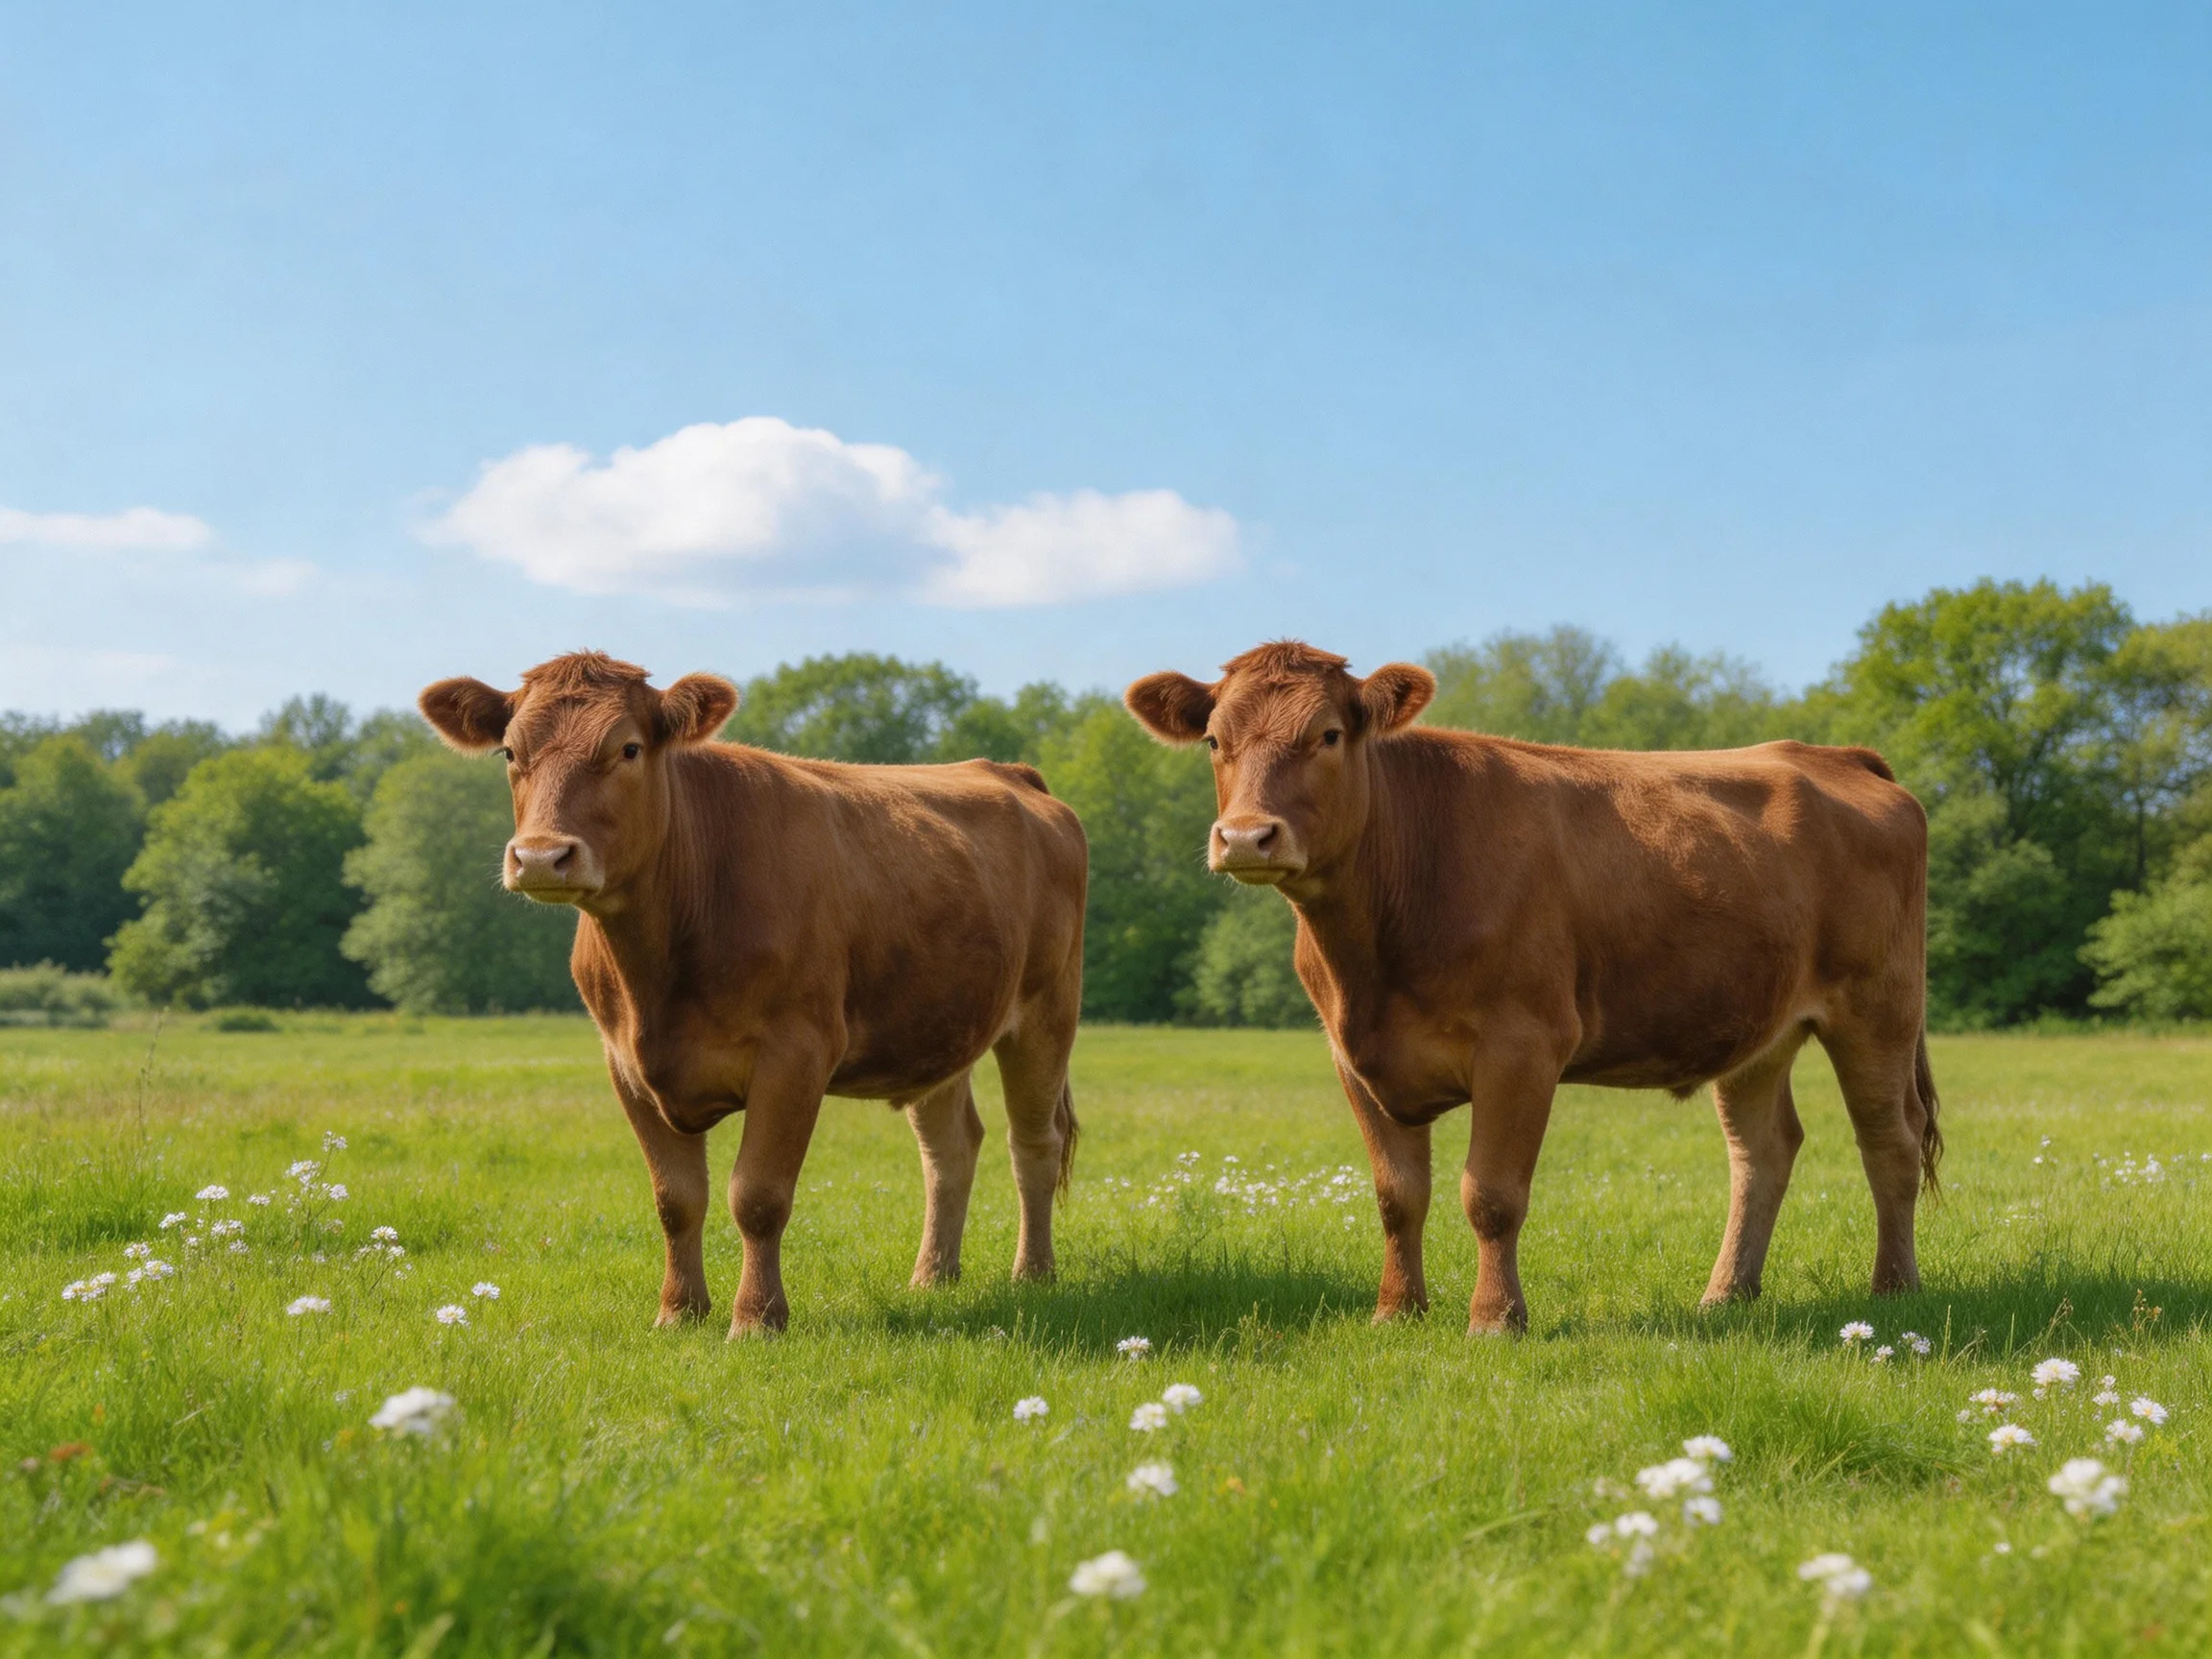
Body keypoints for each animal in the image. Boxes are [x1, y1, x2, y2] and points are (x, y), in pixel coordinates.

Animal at [419, 652, 1087, 1336]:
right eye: (509, 752)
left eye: (628, 748)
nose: (541, 856)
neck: (659, 976)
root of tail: (1008, 773)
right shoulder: (625, 1064)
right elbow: (677, 1199)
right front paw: (679, 1311)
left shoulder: (795, 1054)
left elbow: (758, 1196)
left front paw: (758, 1319)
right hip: (937, 1026)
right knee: (950, 1149)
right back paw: (932, 1277)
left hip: (1048, 1012)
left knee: (1033, 1144)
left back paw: (1033, 1273)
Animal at [1125, 641, 1940, 1334]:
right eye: (1214, 741)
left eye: (1327, 735)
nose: (1245, 836)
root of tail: (1833, 755)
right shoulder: (1352, 1057)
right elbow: (1397, 1197)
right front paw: (1396, 1311)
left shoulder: (1522, 1045)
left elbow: (1490, 1194)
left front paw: (1494, 1319)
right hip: (1758, 1030)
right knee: (1763, 1153)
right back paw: (1725, 1295)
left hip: (1878, 1008)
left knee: (1889, 1143)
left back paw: (1894, 1289)